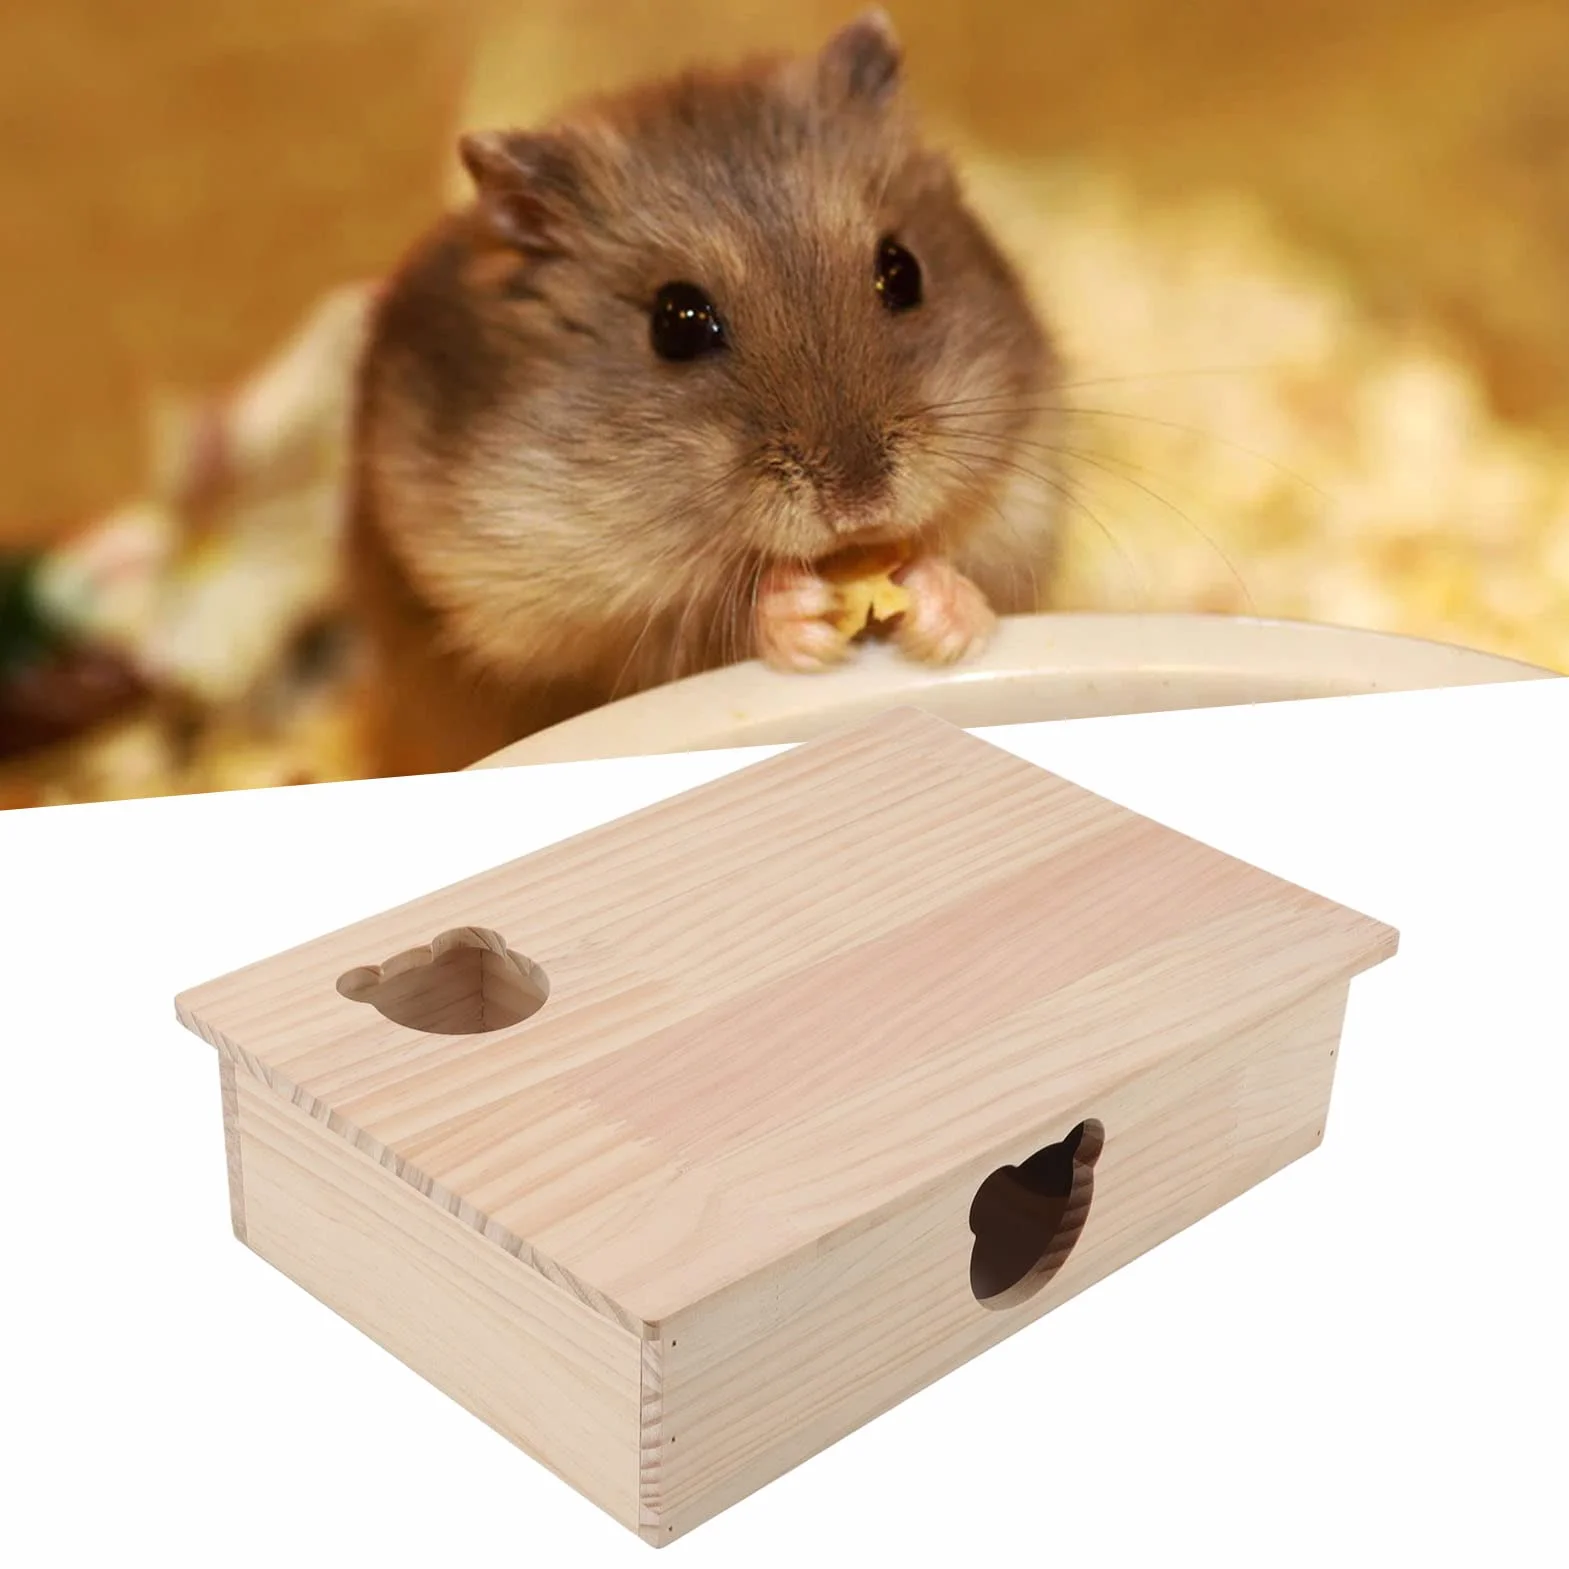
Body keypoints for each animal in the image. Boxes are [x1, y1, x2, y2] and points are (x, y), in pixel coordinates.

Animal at [347, 9, 1063, 776]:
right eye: (676, 323)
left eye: (902, 271)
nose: (860, 505)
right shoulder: (574, 621)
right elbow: (700, 627)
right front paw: (797, 615)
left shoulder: (1025, 496)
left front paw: (941, 612)